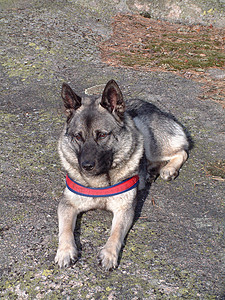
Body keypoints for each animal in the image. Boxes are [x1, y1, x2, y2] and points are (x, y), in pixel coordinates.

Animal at [55, 79, 189, 270]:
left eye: (102, 135)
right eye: (78, 137)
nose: (86, 166)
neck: (100, 180)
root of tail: (156, 108)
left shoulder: (124, 210)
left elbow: (116, 233)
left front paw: (109, 254)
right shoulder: (67, 204)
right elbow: (65, 230)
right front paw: (65, 251)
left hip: (149, 139)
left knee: (181, 151)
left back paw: (167, 169)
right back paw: (150, 172)